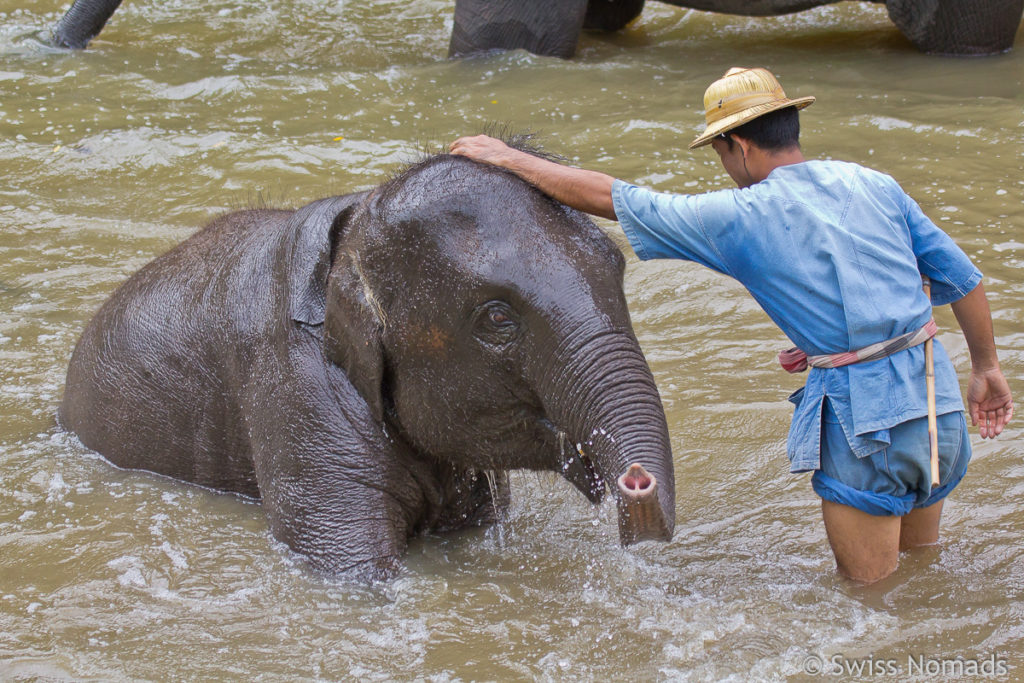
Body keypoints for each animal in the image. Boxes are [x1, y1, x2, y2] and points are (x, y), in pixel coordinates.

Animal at [58, 141, 679, 581]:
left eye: (617, 268)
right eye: (497, 318)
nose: (637, 484)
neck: (354, 227)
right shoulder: (296, 389)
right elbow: (352, 567)